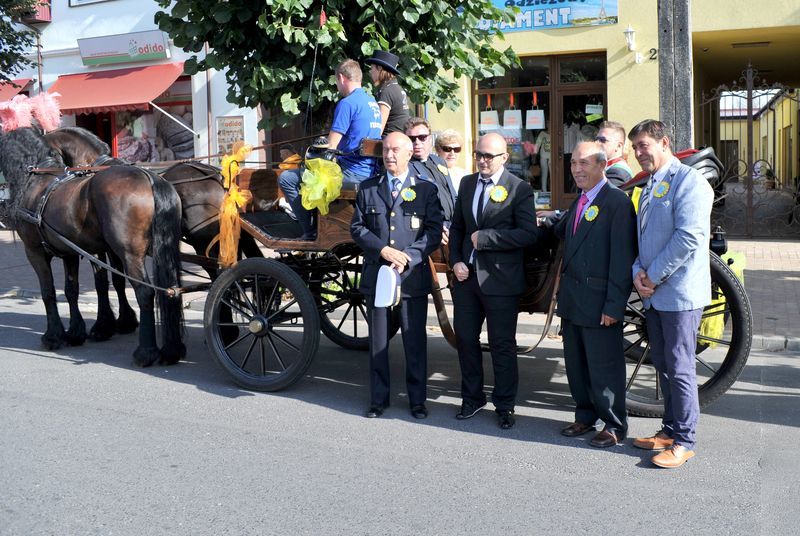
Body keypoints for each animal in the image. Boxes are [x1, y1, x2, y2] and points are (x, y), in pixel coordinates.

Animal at [0, 127, 186, 366]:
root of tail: (150, 177)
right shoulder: (71, 251)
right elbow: (74, 289)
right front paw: (77, 332)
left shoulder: (35, 251)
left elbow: (49, 291)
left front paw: (54, 336)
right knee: (172, 289)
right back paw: (172, 350)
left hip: (130, 254)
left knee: (145, 293)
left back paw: (146, 351)